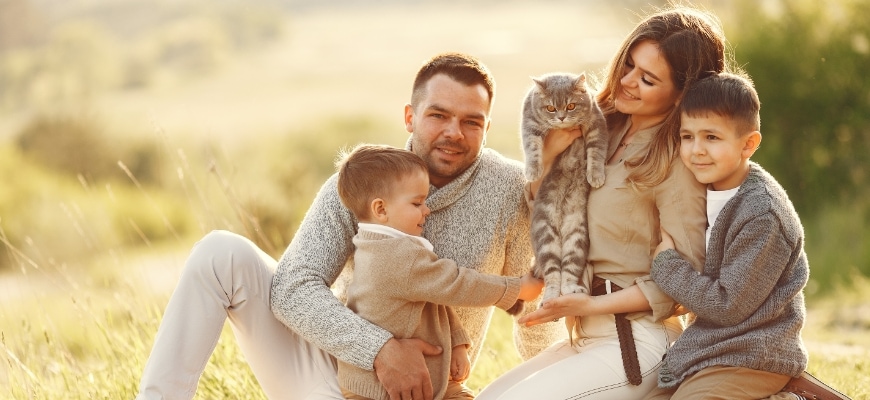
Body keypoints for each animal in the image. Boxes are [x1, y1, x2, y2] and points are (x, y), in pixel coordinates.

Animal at [508, 72, 608, 316]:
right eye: (551, 108)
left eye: (571, 106)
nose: (562, 118)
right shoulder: (530, 125)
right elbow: (533, 148)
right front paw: (533, 170)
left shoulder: (596, 125)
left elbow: (596, 153)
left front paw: (595, 175)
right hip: (546, 238)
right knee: (553, 276)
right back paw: (551, 299)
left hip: (577, 239)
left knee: (567, 275)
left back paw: (571, 291)